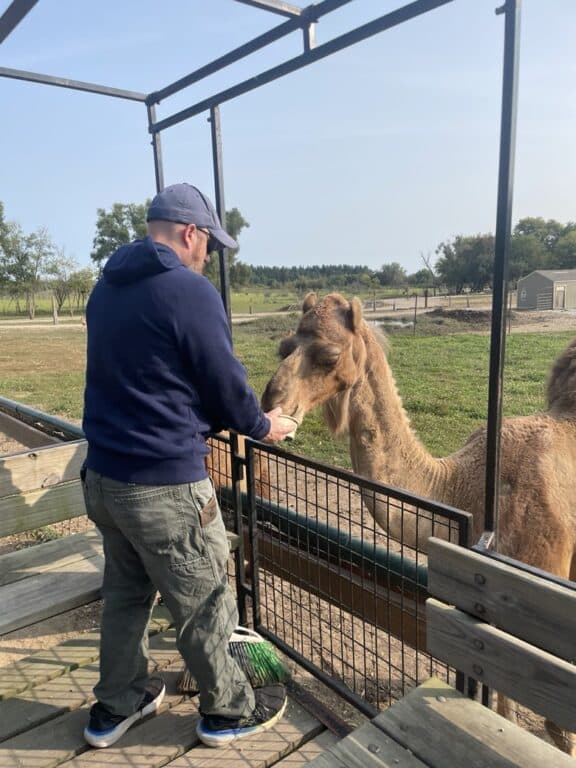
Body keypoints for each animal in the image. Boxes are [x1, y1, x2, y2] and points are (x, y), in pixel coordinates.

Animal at [262, 292, 576, 756]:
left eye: (329, 355)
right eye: (284, 347)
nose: (270, 403)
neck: (465, 489)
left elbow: (557, 725)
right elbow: (502, 705)